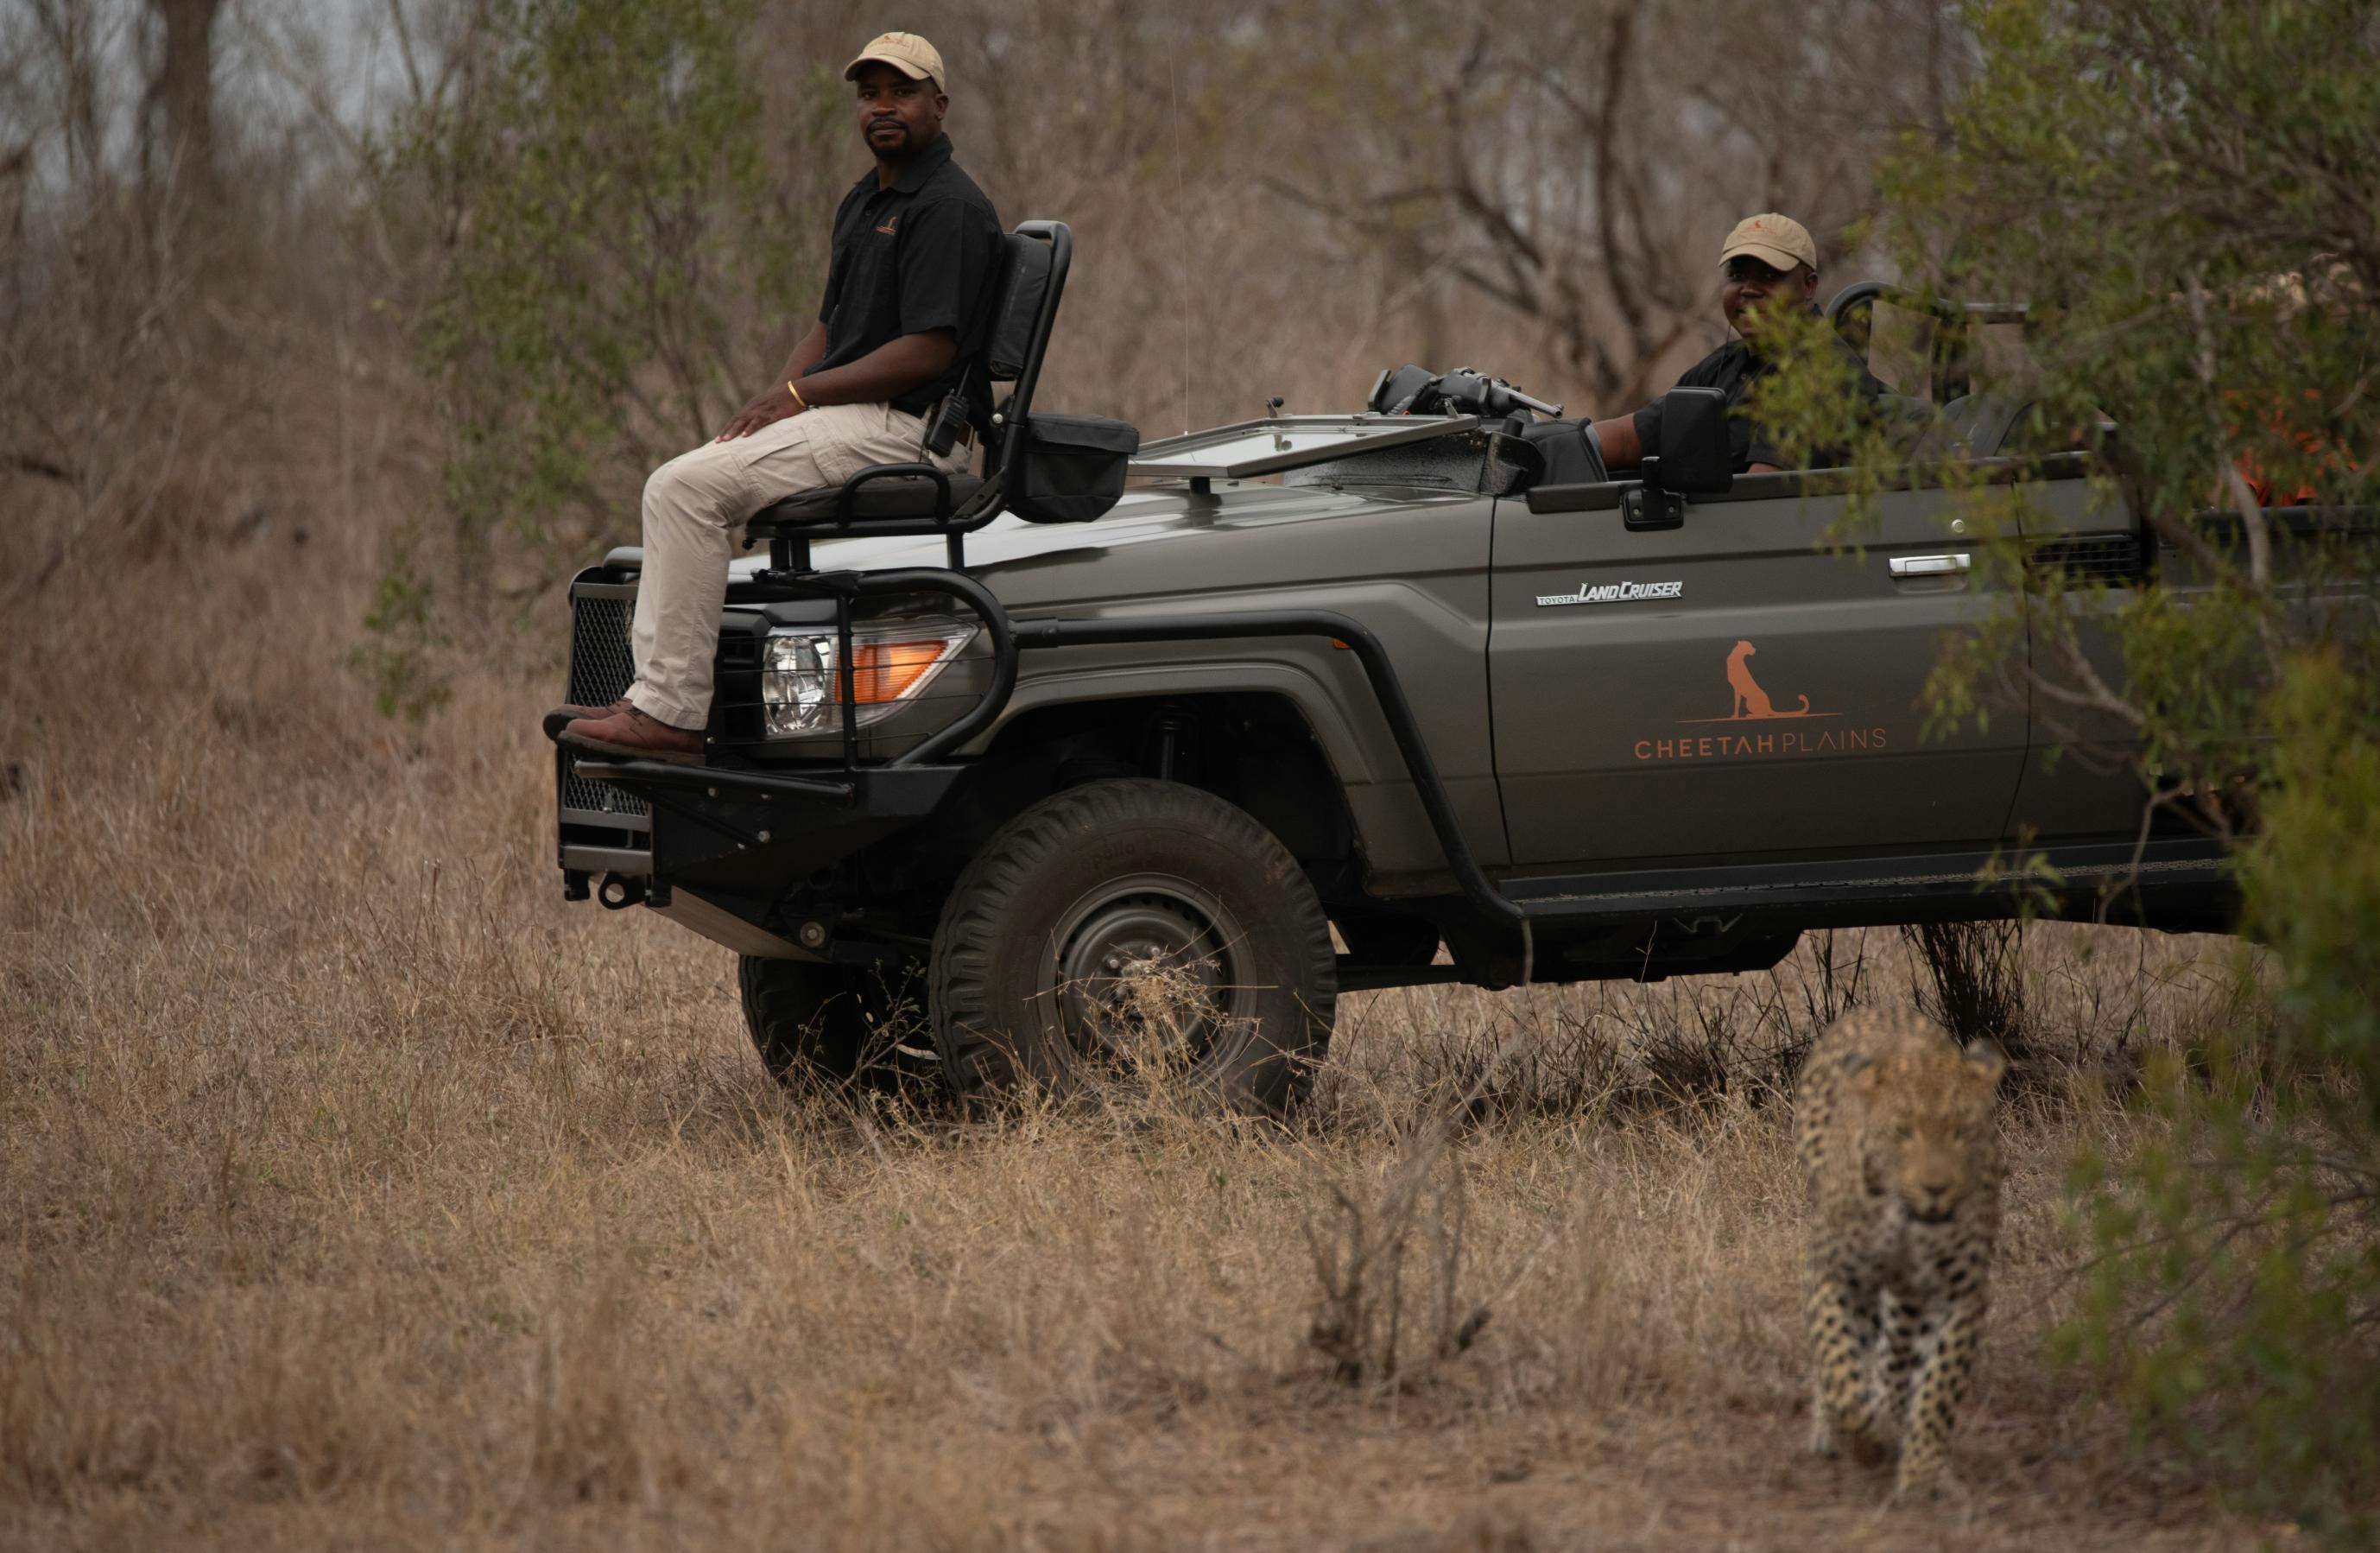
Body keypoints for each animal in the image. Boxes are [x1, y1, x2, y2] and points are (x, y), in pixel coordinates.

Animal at [1794, 1006, 2006, 1499]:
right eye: (1901, 1132)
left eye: (1963, 1132)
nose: (1936, 1188)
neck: (1904, 1220)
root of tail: (1883, 1005)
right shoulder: (1836, 1274)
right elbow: (1838, 1365)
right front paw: (1863, 1439)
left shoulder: (1961, 1291)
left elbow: (1939, 1383)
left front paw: (1922, 1471)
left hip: (1909, 1295)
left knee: (1896, 1355)